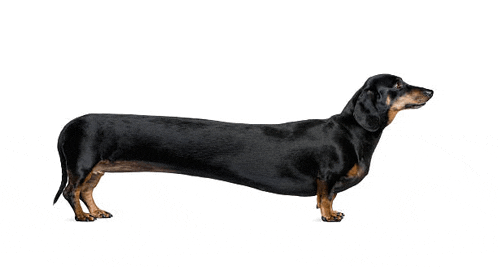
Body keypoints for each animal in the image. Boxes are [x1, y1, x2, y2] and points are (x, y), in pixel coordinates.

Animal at [53, 74, 432, 223]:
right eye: (398, 85)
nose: (430, 91)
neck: (352, 131)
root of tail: (69, 125)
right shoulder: (326, 175)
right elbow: (326, 197)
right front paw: (328, 216)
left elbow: (330, 197)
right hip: (83, 163)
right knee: (73, 192)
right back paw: (83, 217)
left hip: (97, 169)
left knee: (86, 192)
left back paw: (97, 211)